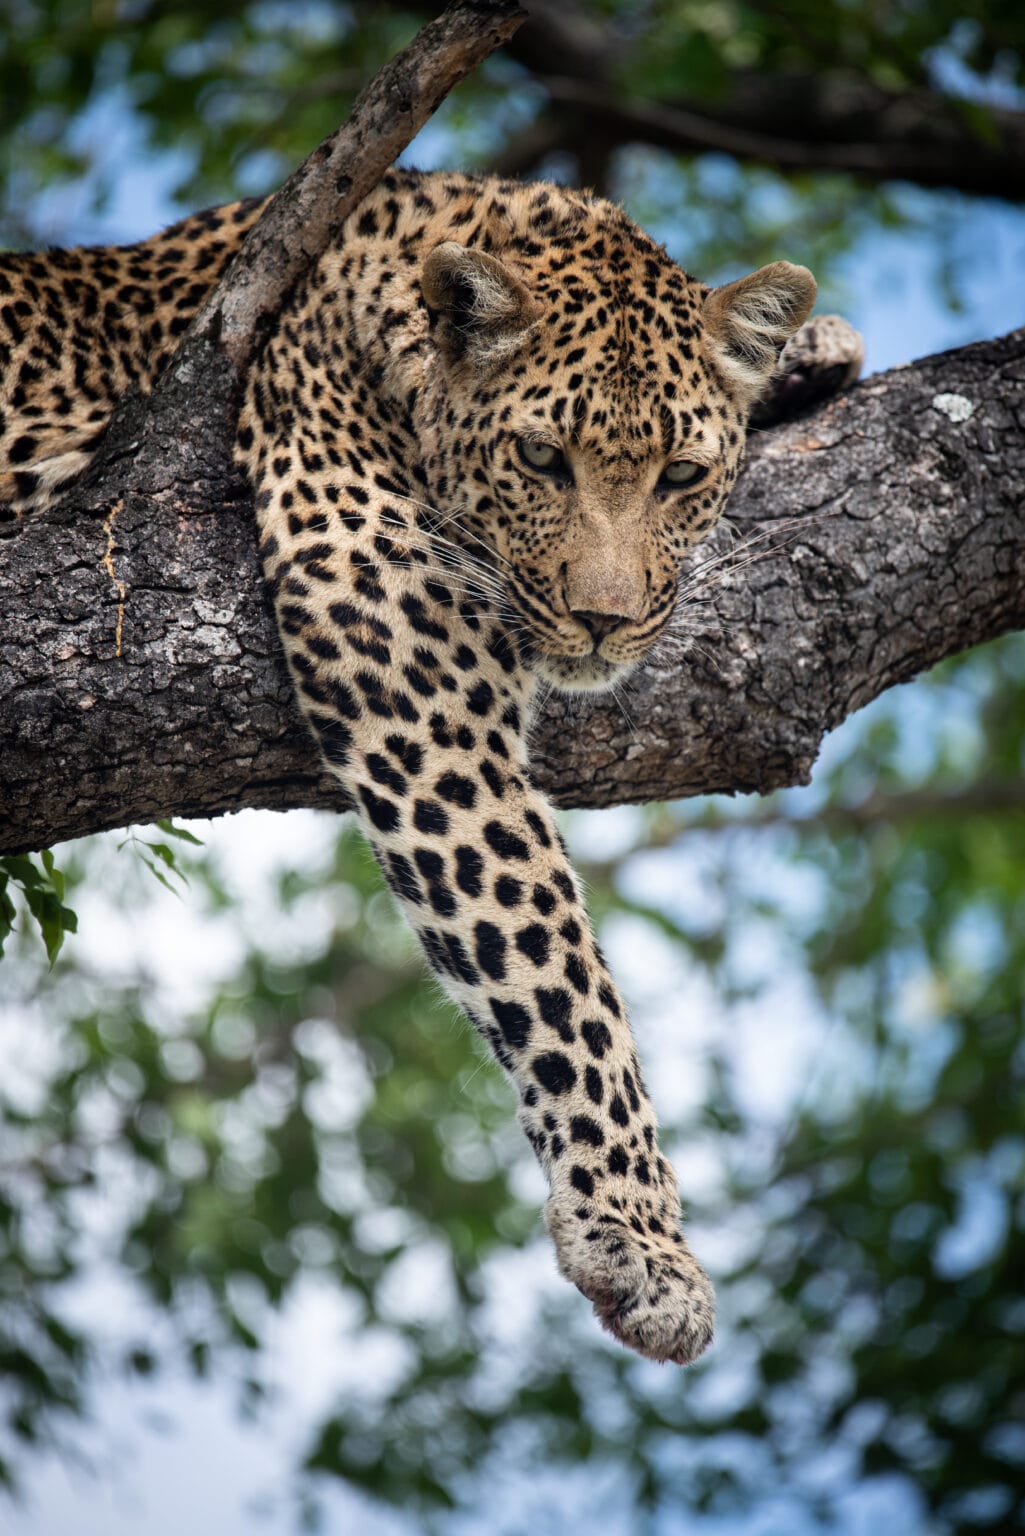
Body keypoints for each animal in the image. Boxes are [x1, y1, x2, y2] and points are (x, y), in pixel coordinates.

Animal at [0, 167, 863, 1366]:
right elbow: (555, 961)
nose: (603, 621)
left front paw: (806, 353)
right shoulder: (397, 644)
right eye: (541, 459)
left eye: (681, 475)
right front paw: (637, 1237)